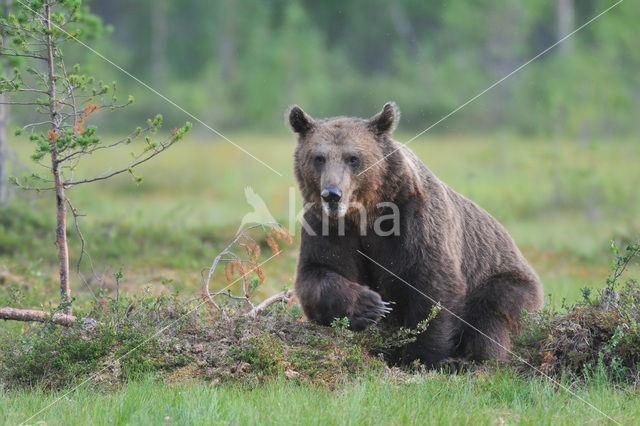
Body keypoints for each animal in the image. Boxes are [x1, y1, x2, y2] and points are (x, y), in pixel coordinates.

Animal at [288, 102, 544, 366]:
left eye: (353, 158)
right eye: (319, 158)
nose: (332, 194)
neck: (366, 212)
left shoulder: (414, 220)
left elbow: (433, 283)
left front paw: (421, 357)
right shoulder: (328, 225)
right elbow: (319, 271)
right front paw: (370, 305)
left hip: (506, 280)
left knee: (493, 314)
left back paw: (473, 360)